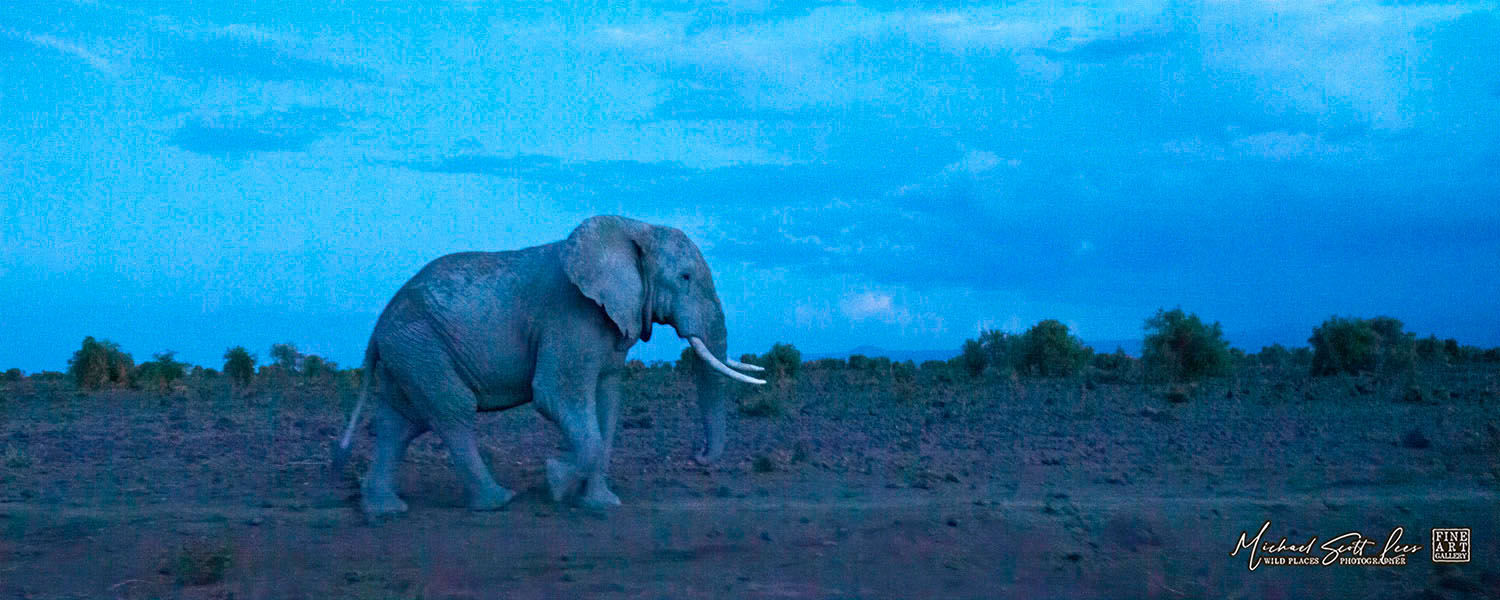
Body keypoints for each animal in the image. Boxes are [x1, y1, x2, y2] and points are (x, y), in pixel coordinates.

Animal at [331, 215, 766, 517]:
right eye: (686, 277)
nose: (699, 457)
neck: (634, 227)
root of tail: (377, 326)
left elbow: (607, 404)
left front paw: (601, 505)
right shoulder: (571, 315)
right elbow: (555, 396)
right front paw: (556, 482)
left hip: (409, 350)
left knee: (402, 422)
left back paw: (384, 510)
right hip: (420, 343)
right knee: (451, 411)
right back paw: (497, 501)